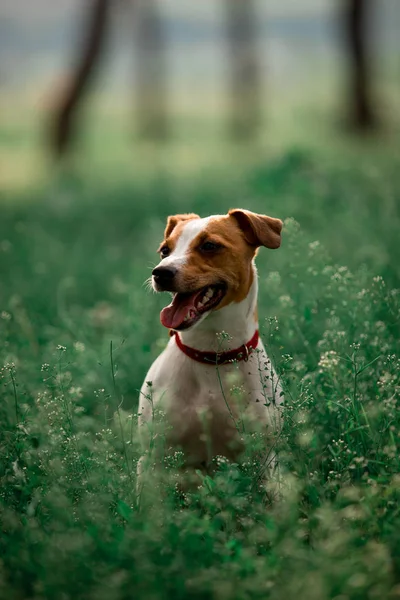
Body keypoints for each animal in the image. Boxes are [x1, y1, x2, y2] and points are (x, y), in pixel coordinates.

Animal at [138, 209, 284, 494]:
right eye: (164, 250)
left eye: (209, 246)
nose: (160, 272)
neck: (212, 355)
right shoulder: (154, 459)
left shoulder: (262, 459)